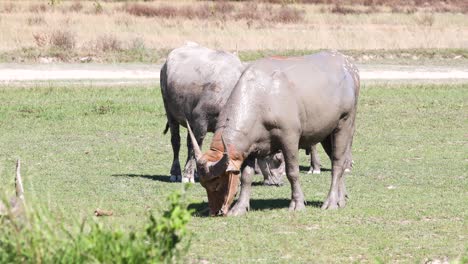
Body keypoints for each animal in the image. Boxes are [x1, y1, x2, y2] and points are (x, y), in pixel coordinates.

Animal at [160, 43, 286, 184]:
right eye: (278, 159)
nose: (279, 182)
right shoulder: (200, 120)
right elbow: (194, 146)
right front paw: (188, 175)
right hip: (170, 112)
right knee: (176, 141)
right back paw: (176, 172)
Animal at [188, 50, 360, 216]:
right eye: (203, 184)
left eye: (217, 183)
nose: (215, 211)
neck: (262, 98)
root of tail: (349, 67)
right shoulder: (250, 146)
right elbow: (246, 176)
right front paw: (240, 207)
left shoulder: (290, 138)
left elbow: (292, 172)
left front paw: (297, 204)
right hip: (326, 133)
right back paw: (340, 199)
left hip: (345, 123)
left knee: (338, 162)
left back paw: (330, 202)